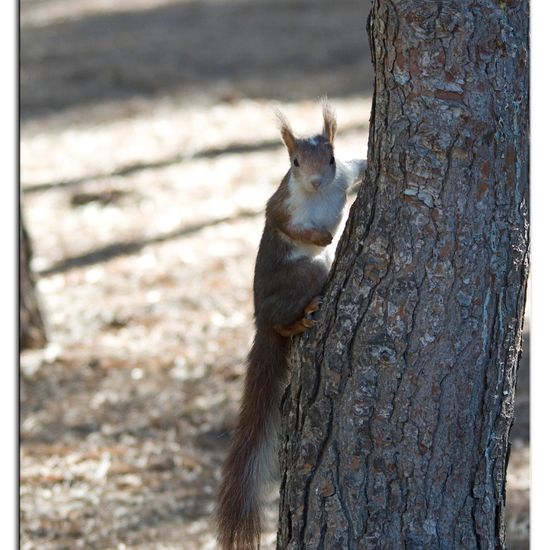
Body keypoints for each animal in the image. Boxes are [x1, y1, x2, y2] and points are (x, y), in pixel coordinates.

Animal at [216, 101, 366, 548]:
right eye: (294, 162)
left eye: (330, 158)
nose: (315, 180)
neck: (318, 196)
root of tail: (261, 321)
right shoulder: (281, 204)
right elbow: (283, 222)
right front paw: (322, 235)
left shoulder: (346, 174)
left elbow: (359, 168)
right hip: (305, 276)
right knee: (287, 319)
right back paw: (299, 321)